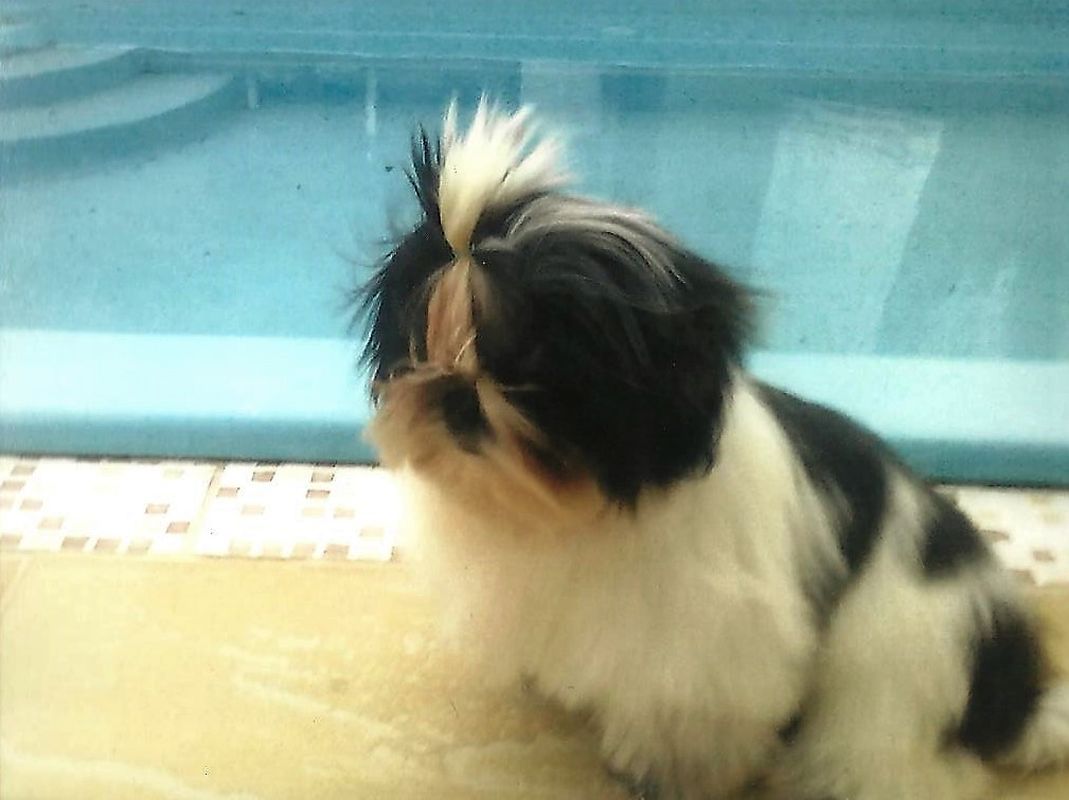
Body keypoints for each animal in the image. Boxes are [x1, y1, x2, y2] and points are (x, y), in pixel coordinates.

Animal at [357, 99, 1069, 799]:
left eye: (535, 369)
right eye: (421, 346)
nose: (455, 391)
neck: (570, 515)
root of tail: (1007, 687)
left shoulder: (710, 650)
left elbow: (692, 719)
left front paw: (666, 774)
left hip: (894, 681)